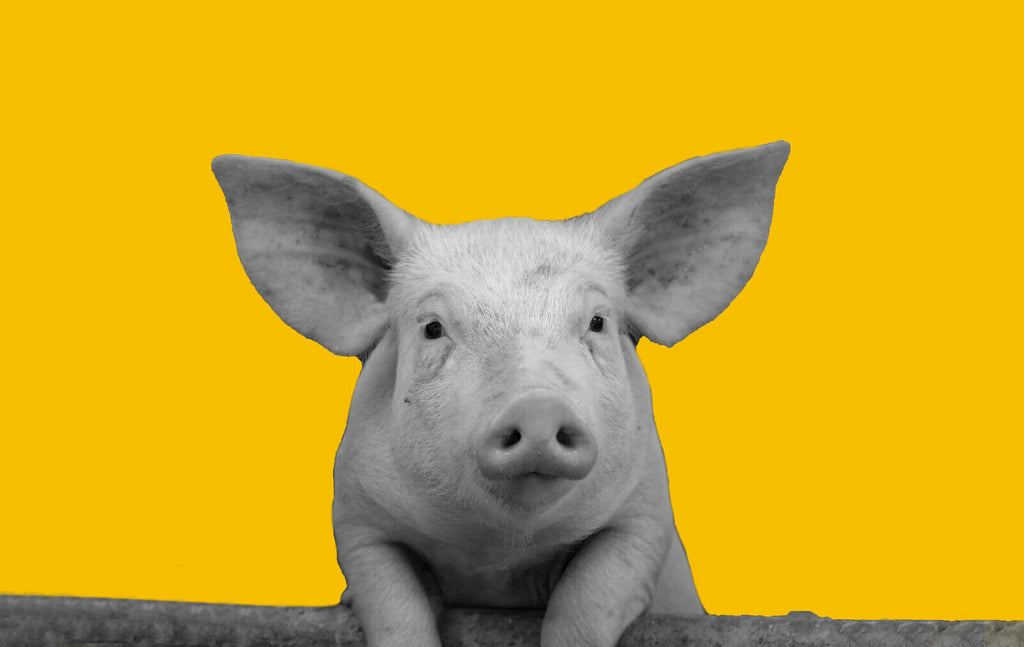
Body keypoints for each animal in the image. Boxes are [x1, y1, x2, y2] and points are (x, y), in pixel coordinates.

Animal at [212, 141, 789, 647]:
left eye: (597, 322)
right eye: (433, 328)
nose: (537, 406)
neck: (498, 553)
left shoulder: (644, 513)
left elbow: (589, 600)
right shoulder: (357, 515)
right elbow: (392, 603)